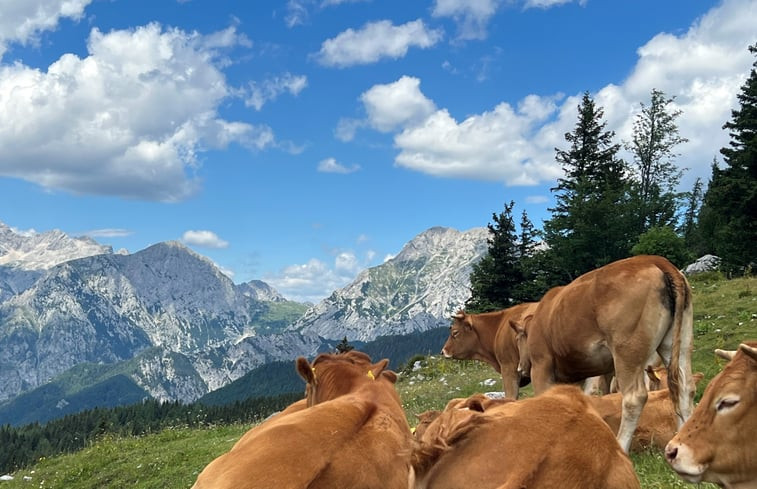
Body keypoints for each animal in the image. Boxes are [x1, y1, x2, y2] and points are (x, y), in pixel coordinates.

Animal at [510, 255, 692, 454]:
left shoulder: (541, 365)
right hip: (678, 344)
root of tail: (655, 260)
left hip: (627, 351)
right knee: (684, 388)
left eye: (518, 339)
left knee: (634, 397)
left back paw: (621, 446)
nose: (520, 368)